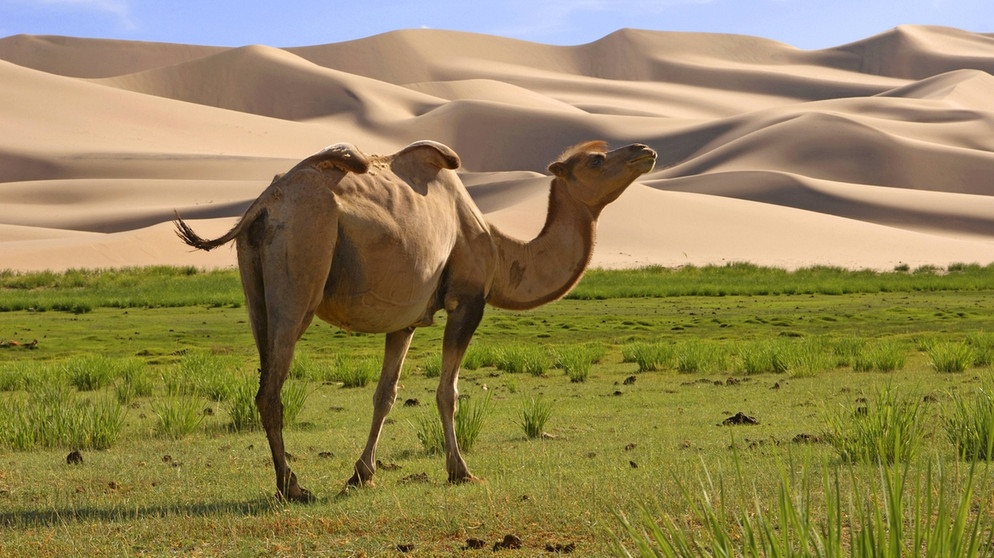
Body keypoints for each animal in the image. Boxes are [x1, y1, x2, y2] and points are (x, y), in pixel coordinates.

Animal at [174, 139, 656, 504]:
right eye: (596, 160)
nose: (644, 151)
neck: (500, 251)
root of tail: (262, 205)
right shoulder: (468, 301)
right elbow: (448, 392)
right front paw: (460, 470)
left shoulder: (403, 320)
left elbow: (385, 395)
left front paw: (362, 474)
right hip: (301, 264)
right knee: (272, 389)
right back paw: (292, 486)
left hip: (255, 285)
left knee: (264, 374)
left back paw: (290, 482)